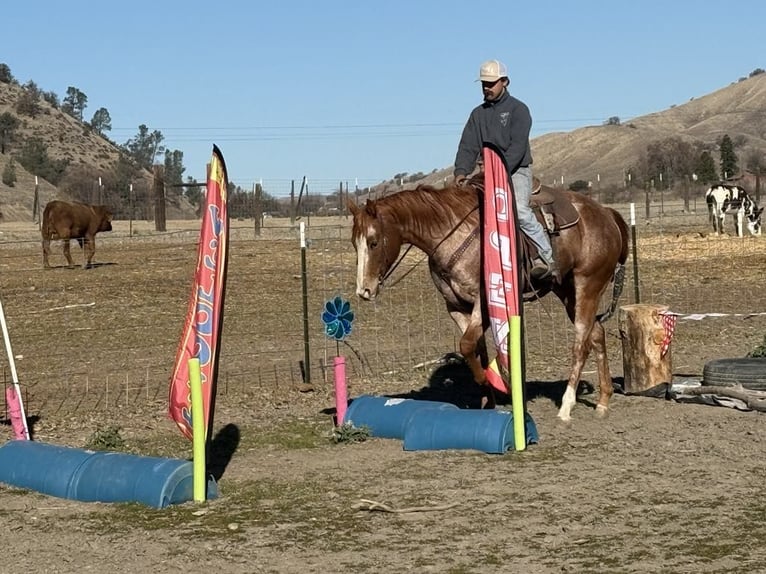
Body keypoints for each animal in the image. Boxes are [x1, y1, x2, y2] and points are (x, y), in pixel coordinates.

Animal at [348, 177, 629, 421]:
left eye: (373, 242)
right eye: (354, 243)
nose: (364, 290)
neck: (453, 232)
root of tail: (606, 214)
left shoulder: (483, 301)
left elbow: (466, 345)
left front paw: (495, 382)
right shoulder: (456, 307)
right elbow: (477, 348)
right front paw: (488, 400)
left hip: (587, 284)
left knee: (581, 342)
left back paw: (566, 406)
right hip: (567, 291)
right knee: (597, 334)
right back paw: (603, 401)